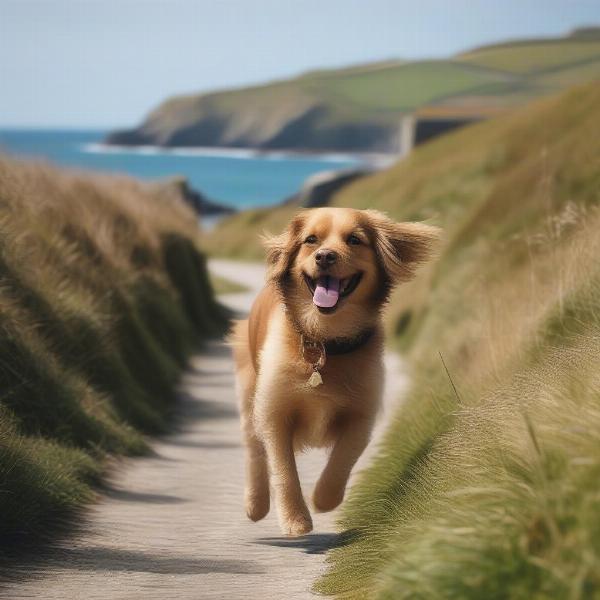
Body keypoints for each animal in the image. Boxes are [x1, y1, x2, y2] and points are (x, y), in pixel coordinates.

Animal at [230, 205, 440, 536]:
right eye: (310, 240)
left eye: (354, 239)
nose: (325, 257)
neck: (324, 341)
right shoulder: (275, 412)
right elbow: (283, 468)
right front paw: (295, 520)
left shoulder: (362, 414)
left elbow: (344, 457)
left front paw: (324, 499)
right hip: (249, 391)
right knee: (254, 450)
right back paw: (256, 503)